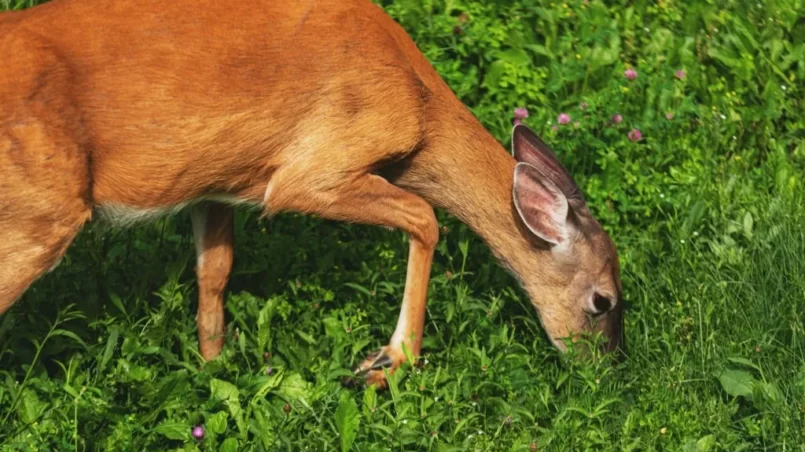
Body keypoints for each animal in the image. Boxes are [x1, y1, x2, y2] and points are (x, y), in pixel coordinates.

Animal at [1, 0, 620, 386]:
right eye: (605, 302)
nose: (606, 372)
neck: (419, 108)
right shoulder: (311, 169)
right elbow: (425, 216)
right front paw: (388, 363)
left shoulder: (215, 182)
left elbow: (215, 271)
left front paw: (213, 368)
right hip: (41, 213)